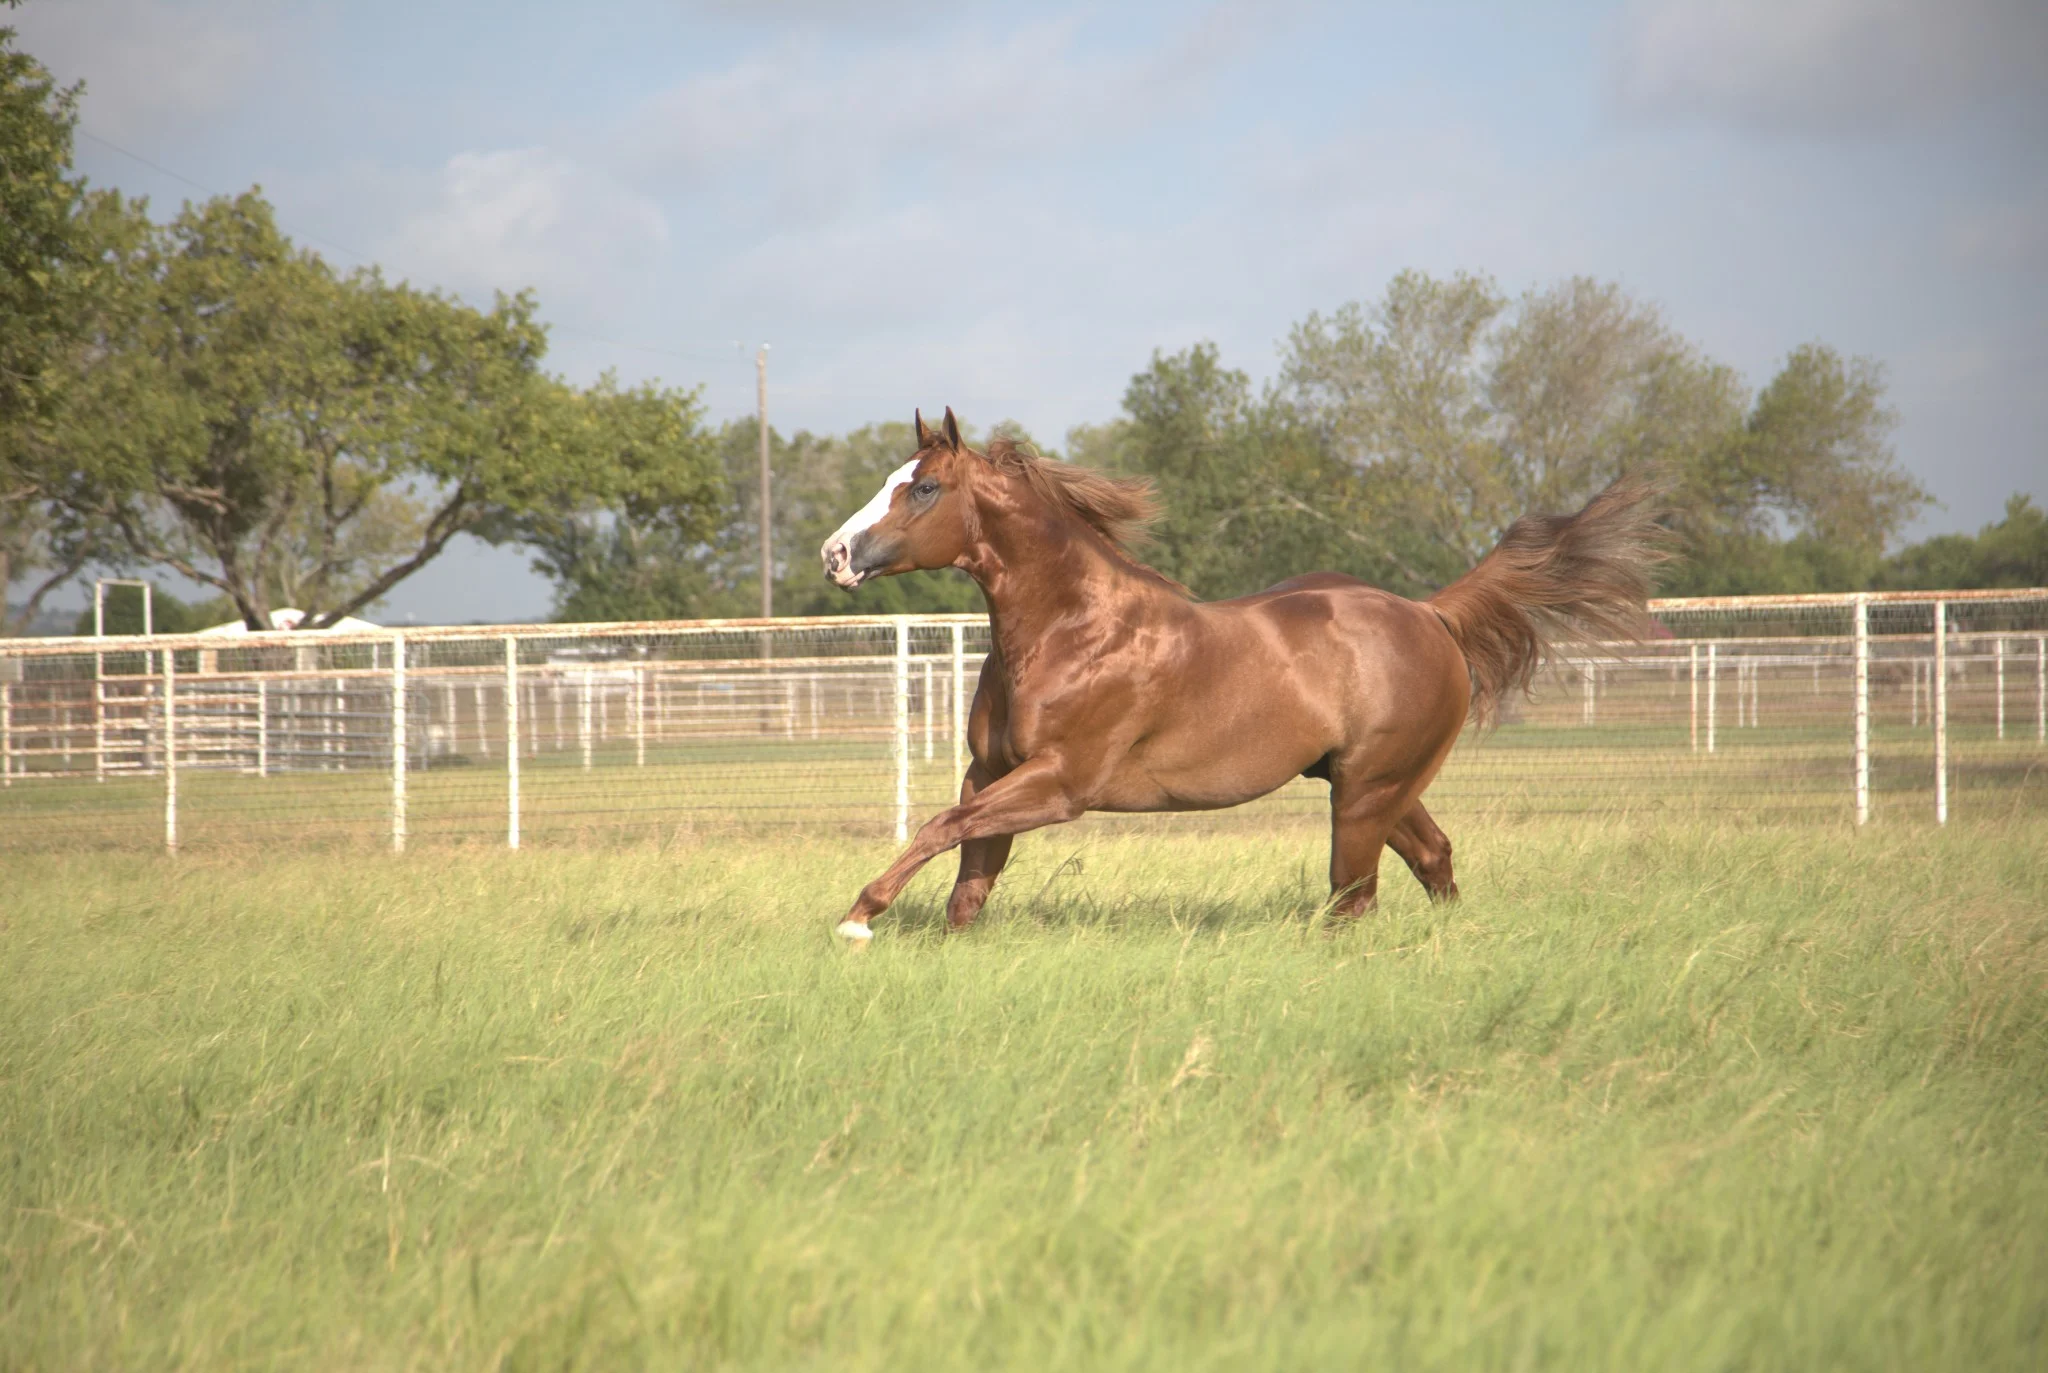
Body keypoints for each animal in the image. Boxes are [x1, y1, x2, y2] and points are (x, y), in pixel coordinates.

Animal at [819, 407, 1663, 941]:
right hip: (1372, 784)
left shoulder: (1060, 783)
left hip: (1367, 792)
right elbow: (968, 878)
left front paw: (858, 916)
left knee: (1354, 897)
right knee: (1430, 858)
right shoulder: (990, 770)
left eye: (923, 487)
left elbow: (939, 828)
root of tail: (1430, 615)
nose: (835, 553)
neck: (1073, 630)